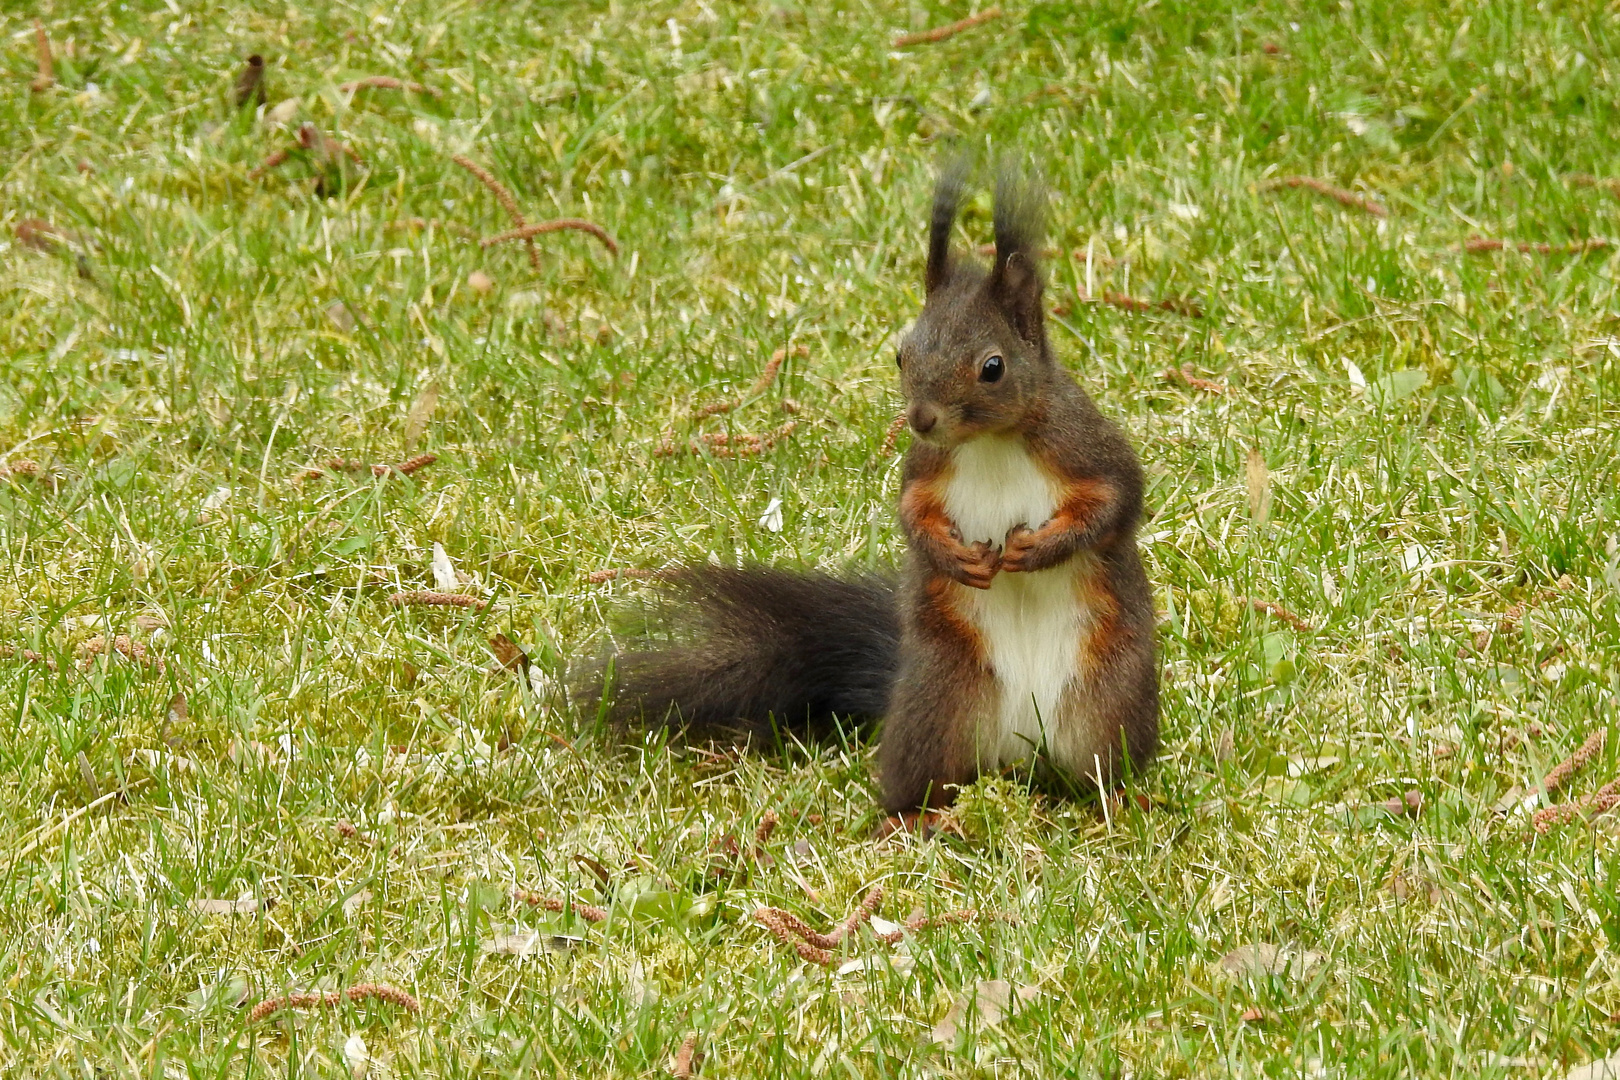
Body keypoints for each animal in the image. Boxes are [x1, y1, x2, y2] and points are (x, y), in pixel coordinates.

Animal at [589, 166, 1159, 829]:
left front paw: (1039, 549)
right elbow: (912, 512)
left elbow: (1117, 502)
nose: (922, 418)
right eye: (901, 354)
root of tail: (1022, 749)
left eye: (992, 367)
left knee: (1099, 769)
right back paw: (910, 819)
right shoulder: (926, 467)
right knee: (927, 777)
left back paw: (1123, 801)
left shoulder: (1084, 446)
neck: (989, 443)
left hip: (1109, 702)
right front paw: (950, 555)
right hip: (937, 703)